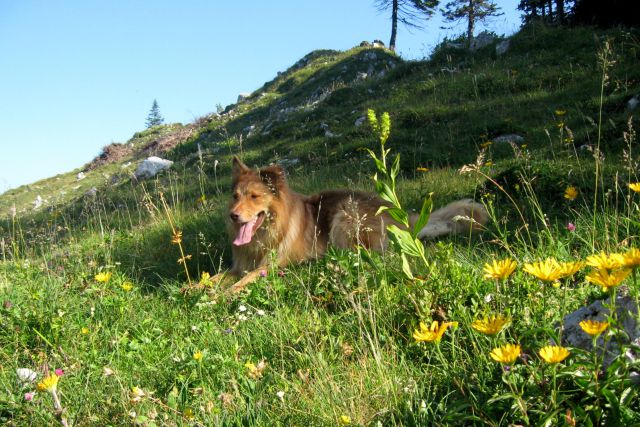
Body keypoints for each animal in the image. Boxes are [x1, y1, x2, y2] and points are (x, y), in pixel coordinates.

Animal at [218, 158, 488, 294]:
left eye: (254, 197)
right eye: (235, 196)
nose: (232, 216)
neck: (265, 232)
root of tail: (396, 211)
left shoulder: (270, 265)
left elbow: (243, 281)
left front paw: (222, 295)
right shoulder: (238, 266)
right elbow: (216, 277)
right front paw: (208, 288)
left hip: (344, 217)